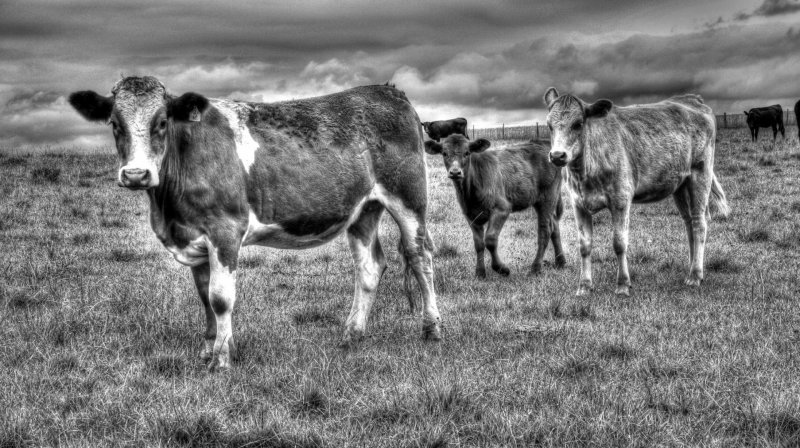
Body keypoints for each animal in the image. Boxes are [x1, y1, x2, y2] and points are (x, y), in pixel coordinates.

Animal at [69, 76, 444, 372]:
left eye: (161, 122)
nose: (136, 174)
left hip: (409, 197)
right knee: (370, 267)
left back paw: (432, 329)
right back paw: (351, 335)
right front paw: (208, 350)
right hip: (363, 209)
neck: (169, 211)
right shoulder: (196, 238)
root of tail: (387, 91)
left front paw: (221, 359)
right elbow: (204, 296)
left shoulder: (224, 230)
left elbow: (220, 297)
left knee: (420, 257)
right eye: (114, 123)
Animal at [422, 135, 564, 278]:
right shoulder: (470, 215)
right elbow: (478, 244)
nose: (455, 172)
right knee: (554, 225)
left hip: (548, 196)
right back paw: (560, 262)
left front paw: (502, 269)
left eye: (467, 153)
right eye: (444, 153)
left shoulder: (502, 208)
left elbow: (490, 240)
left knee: (545, 230)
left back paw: (535, 268)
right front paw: (480, 273)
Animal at [544, 87, 732, 298]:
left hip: (700, 173)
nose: (557, 155)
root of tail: (692, 99)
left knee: (700, 223)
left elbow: (619, 243)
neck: (585, 173)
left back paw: (695, 275)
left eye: (578, 124)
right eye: (549, 125)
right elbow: (584, 246)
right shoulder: (579, 203)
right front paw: (584, 286)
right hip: (680, 184)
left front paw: (623, 284)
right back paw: (691, 268)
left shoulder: (620, 199)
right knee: (689, 223)